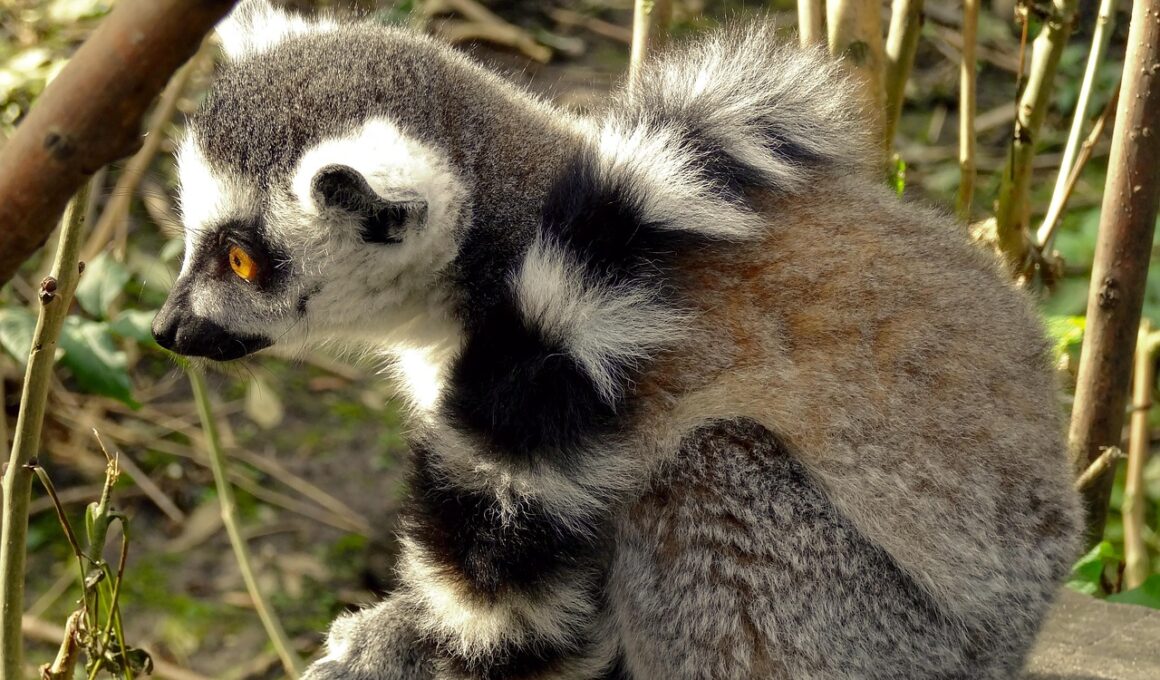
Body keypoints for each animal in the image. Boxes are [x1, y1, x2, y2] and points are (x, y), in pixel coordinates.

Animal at [152, 2, 1081, 678]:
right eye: (195, 234)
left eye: (241, 260)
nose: (167, 327)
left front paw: (421, 640)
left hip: (876, 629)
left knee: (712, 473)